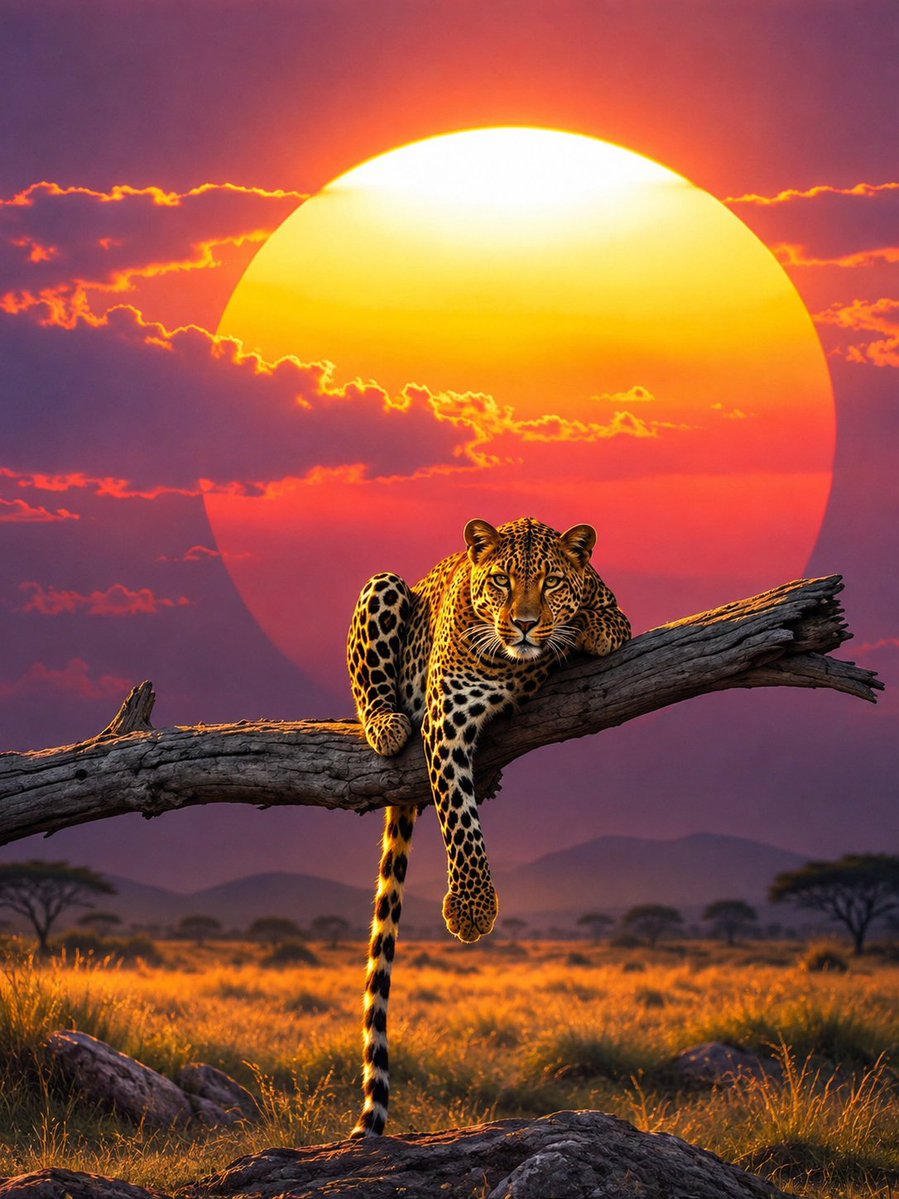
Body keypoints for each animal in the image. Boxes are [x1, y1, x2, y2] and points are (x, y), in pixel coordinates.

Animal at [346, 516, 631, 1137]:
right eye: (500, 580)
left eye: (550, 582)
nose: (522, 623)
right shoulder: (447, 716)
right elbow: (459, 815)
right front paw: (472, 910)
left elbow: (604, 612)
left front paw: (590, 624)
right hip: (382, 586)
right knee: (370, 688)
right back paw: (385, 722)